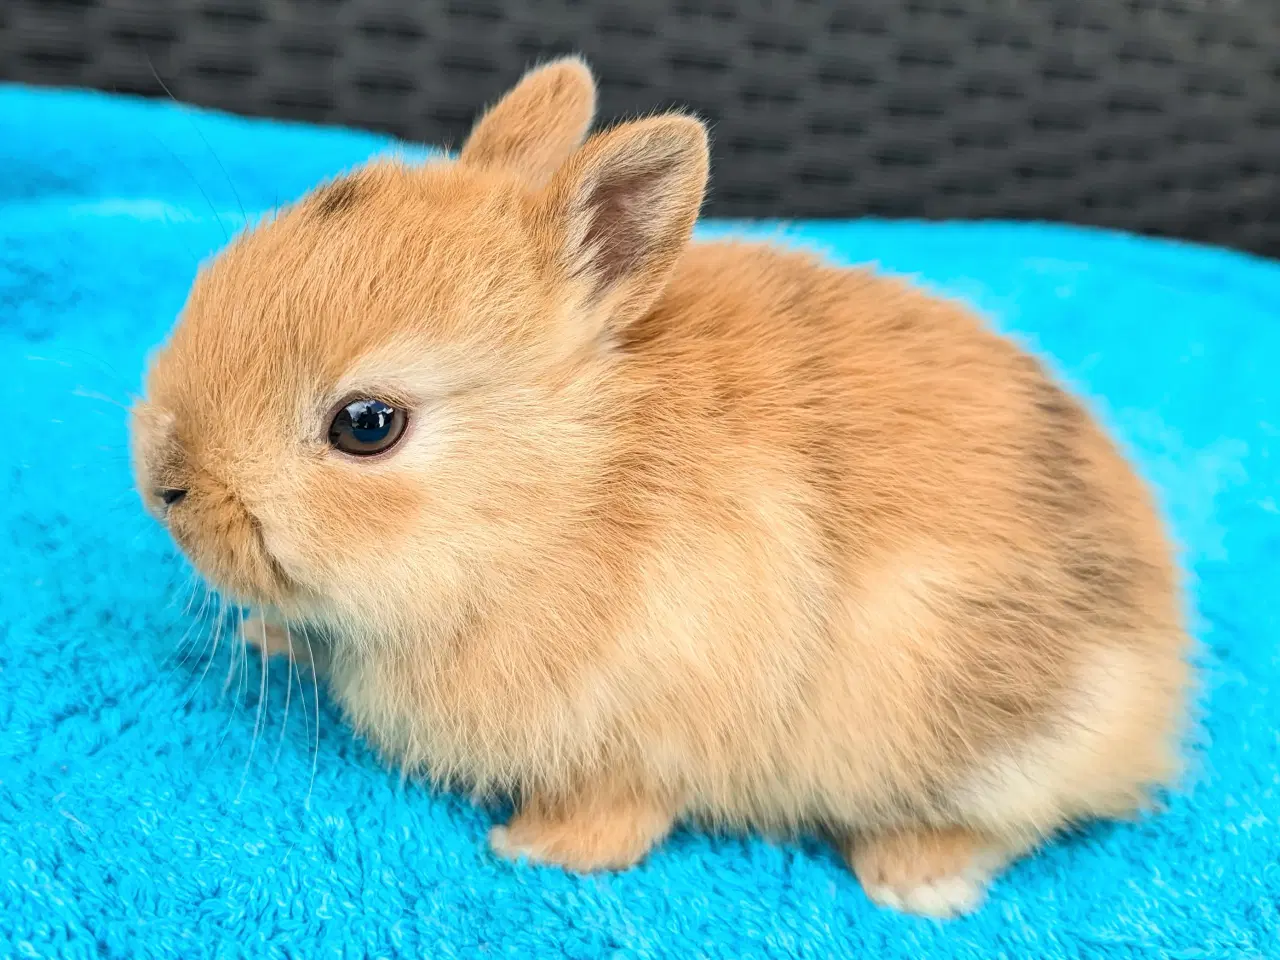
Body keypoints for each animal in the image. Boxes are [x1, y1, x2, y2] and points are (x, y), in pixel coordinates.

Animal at [131, 57, 1191, 917]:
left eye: (367, 426)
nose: (163, 483)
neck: (564, 494)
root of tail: (1163, 670)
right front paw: (267, 638)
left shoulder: (646, 728)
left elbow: (621, 810)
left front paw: (533, 849)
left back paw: (912, 879)